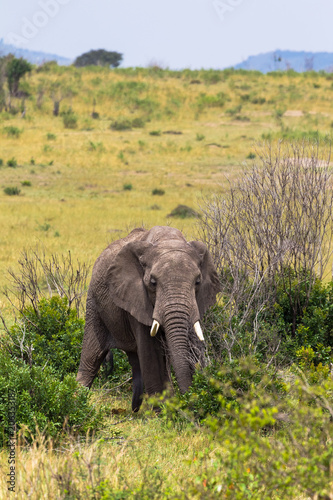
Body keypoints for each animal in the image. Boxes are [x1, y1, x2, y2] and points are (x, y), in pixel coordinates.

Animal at [76, 226, 219, 410]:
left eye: (198, 282)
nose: (189, 399)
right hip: (94, 303)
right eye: (152, 282)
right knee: (91, 357)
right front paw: (165, 412)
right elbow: (152, 355)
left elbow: (191, 345)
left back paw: (136, 408)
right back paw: (77, 397)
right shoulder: (137, 297)